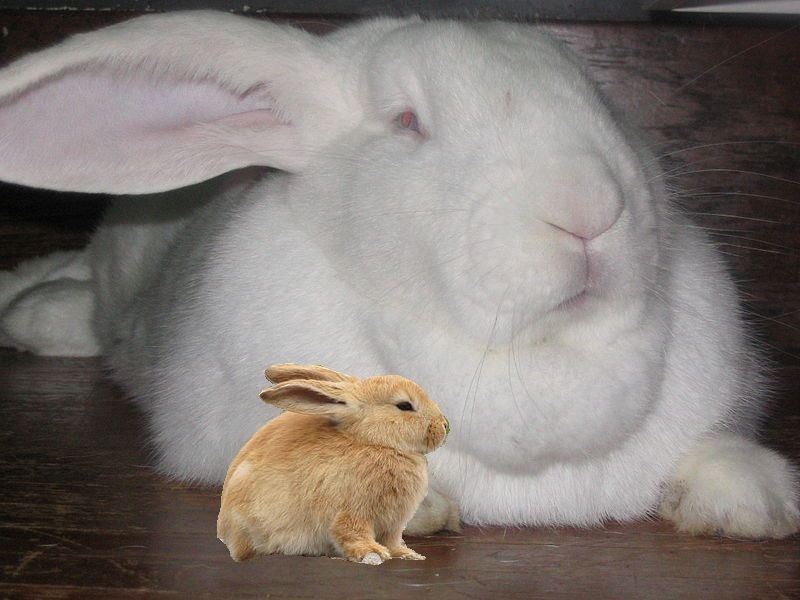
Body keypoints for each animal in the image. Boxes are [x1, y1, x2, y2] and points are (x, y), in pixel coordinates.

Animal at [1, 11, 800, 536]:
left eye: (601, 98)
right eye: (408, 123)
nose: (590, 208)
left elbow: (712, 449)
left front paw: (756, 502)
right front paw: (412, 505)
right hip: (119, 257)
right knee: (84, 289)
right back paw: (33, 311)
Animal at [216, 364, 450, 564]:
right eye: (404, 406)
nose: (445, 426)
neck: (373, 442)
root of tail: (223, 530)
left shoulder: (392, 525)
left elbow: (392, 542)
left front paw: (408, 554)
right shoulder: (352, 512)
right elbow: (351, 533)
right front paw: (372, 555)